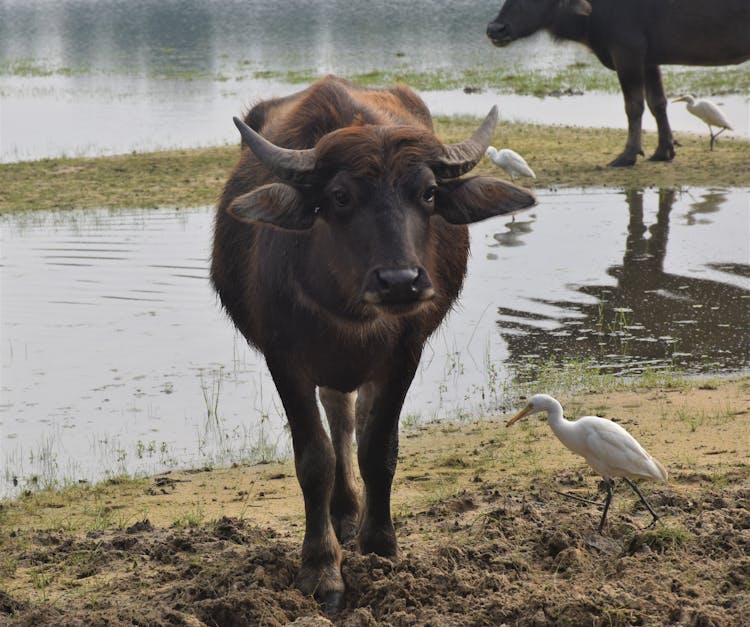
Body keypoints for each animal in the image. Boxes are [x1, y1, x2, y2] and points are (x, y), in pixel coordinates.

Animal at [210, 76, 536, 612]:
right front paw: (322, 569)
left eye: (428, 193)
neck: (349, 307)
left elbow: (379, 448)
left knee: (355, 421)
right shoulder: (285, 359)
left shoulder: (403, 354)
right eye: (340, 196)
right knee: (339, 420)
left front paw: (380, 548)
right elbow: (314, 459)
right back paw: (342, 513)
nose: (400, 282)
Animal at [488, 0, 750, 167]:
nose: (495, 29)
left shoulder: (627, 53)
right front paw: (663, 151)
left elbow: (634, 106)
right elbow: (657, 103)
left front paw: (627, 155)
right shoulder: (649, 59)